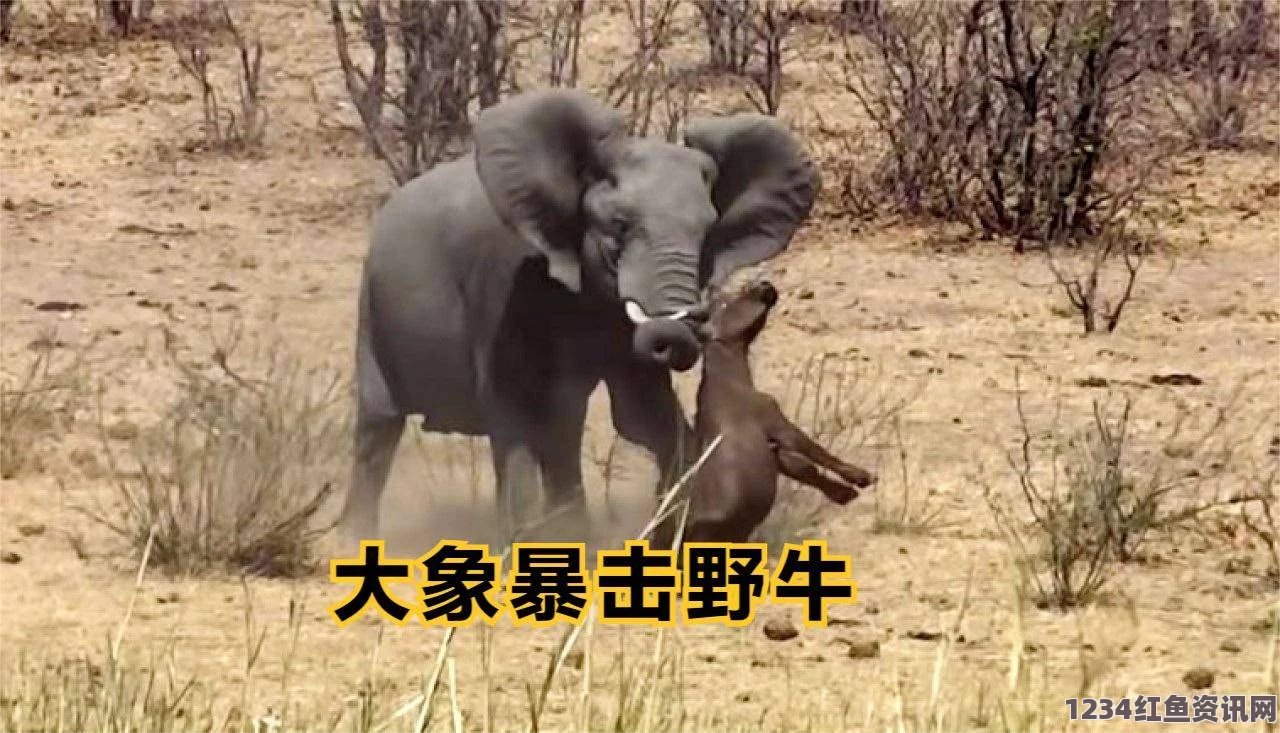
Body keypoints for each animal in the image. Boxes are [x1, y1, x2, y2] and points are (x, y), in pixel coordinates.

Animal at [340, 88, 819, 542]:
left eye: (707, 235)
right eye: (618, 228)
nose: (685, 332)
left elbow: (643, 416)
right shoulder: (503, 283)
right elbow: (513, 415)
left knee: (562, 433)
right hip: (370, 308)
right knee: (378, 429)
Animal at [686, 280, 875, 542]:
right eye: (726, 300)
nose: (763, 284)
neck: (727, 378)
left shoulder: (775, 450)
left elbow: (805, 469)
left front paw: (844, 494)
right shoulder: (778, 425)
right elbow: (819, 454)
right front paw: (861, 477)